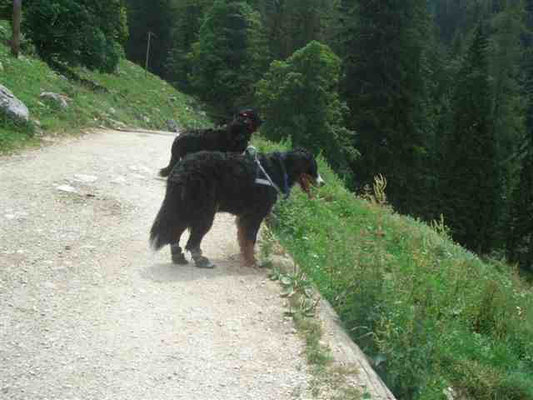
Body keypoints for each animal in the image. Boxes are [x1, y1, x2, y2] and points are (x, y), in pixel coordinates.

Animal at [151, 148, 324, 268]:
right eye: (313, 168)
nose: (323, 183)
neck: (279, 169)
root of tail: (183, 167)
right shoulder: (255, 215)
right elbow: (250, 239)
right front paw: (252, 261)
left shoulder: (245, 216)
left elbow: (243, 239)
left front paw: (245, 256)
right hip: (204, 212)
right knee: (193, 240)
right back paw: (201, 260)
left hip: (185, 207)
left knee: (175, 232)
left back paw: (178, 257)